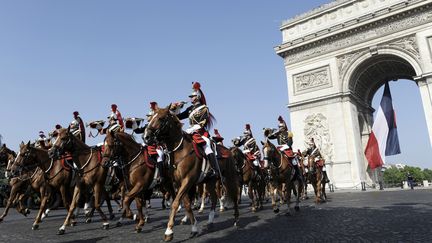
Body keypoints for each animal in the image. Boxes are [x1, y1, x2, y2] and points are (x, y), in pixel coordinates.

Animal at [144, 107, 240, 241]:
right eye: (151, 117)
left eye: (161, 118)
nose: (146, 137)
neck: (180, 151)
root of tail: (228, 150)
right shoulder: (180, 183)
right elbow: (187, 204)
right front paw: (194, 228)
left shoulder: (187, 180)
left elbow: (175, 203)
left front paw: (169, 231)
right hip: (209, 181)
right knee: (214, 198)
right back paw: (210, 221)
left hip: (228, 178)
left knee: (234, 194)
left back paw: (236, 219)